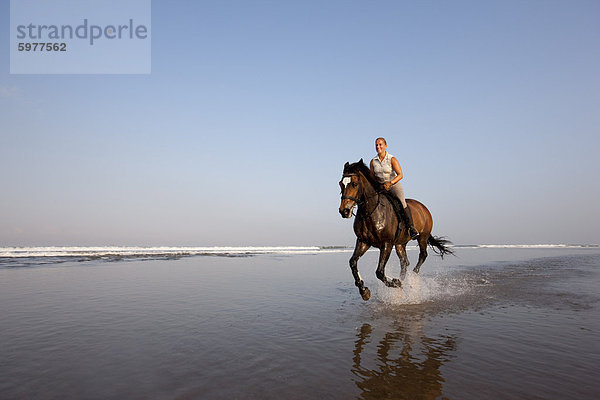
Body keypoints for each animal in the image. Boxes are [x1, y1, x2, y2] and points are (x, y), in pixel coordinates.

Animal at [340, 159, 452, 300]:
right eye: (341, 184)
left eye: (354, 184)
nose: (344, 211)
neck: (371, 212)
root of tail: (423, 207)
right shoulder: (363, 241)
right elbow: (353, 262)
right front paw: (364, 290)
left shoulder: (386, 244)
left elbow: (379, 272)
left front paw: (395, 282)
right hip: (400, 244)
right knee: (404, 262)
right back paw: (403, 282)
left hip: (422, 237)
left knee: (422, 255)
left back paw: (412, 276)